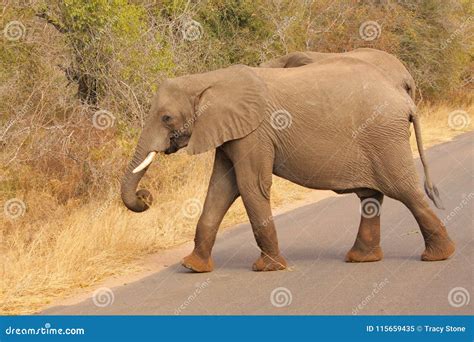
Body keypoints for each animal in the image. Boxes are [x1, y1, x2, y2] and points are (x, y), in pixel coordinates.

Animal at [120, 56, 454, 274]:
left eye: (166, 118)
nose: (146, 196)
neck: (207, 79)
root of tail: (405, 99)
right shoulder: (231, 132)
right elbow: (220, 189)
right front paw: (192, 267)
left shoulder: (254, 132)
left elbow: (250, 186)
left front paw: (268, 269)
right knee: (372, 196)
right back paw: (362, 259)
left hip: (384, 137)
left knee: (406, 191)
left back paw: (439, 257)